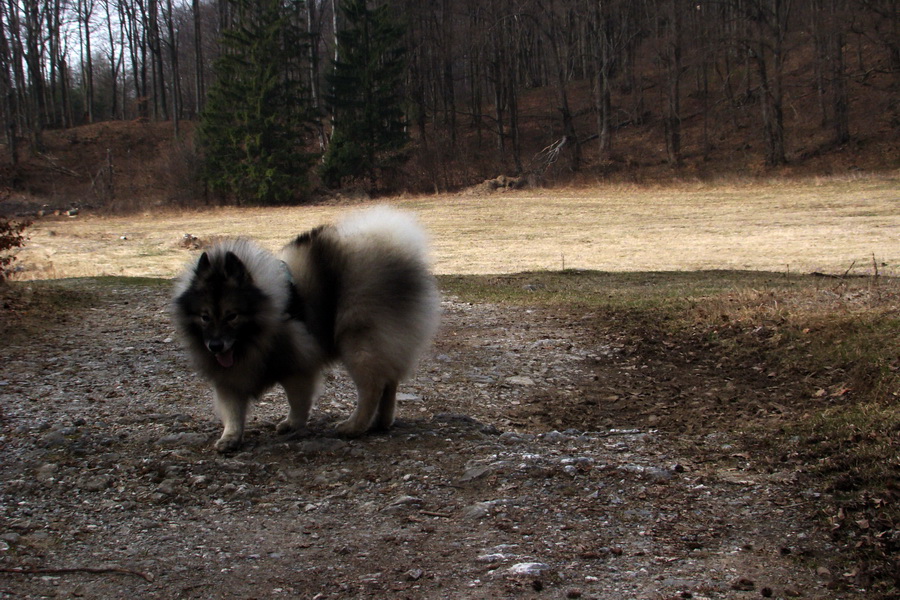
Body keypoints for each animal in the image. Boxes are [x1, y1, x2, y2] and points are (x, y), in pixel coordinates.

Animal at [172, 209, 440, 452]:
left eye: (232, 316)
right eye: (205, 317)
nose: (215, 345)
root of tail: (396, 252)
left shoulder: (297, 366)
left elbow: (297, 402)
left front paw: (293, 424)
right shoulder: (232, 377)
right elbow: (233, 411)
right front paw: (230, 438)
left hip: (357, 344)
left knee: (372, 387)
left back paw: (354, 426)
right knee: (389, 382)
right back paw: (380, 422)